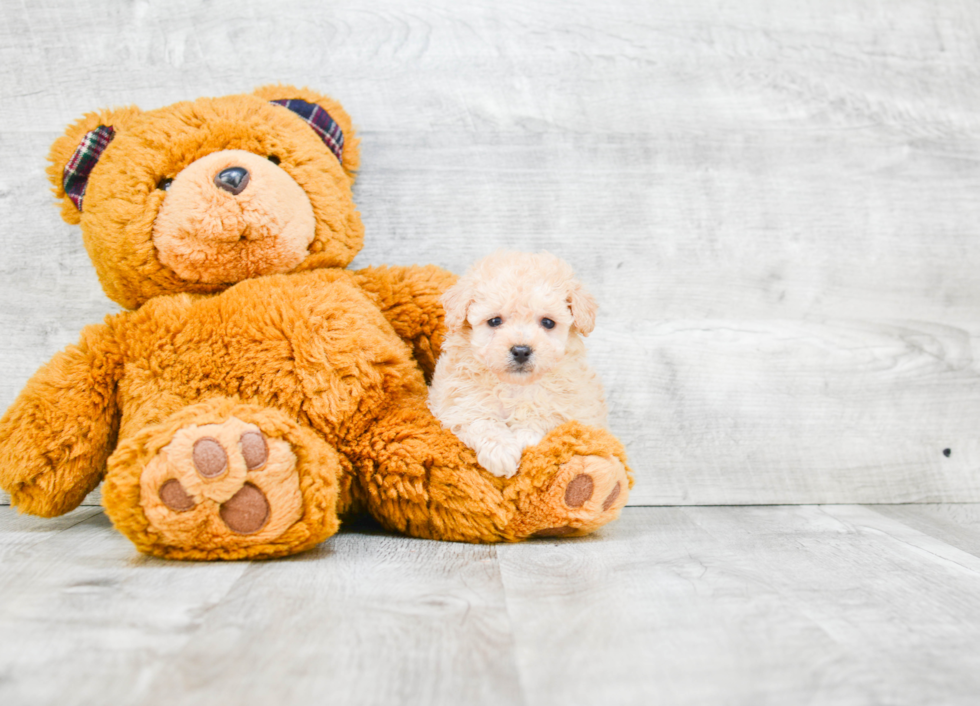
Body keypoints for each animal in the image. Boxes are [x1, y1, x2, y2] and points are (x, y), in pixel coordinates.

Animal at [428, 250, 604, 476]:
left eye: (548, 323)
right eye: (494, 321)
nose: (521, 351)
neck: (515, 386)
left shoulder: (573, 410)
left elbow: (542, 416)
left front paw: (523, 437)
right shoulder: (458, 403)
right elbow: (480, 419)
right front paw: (501, 452)